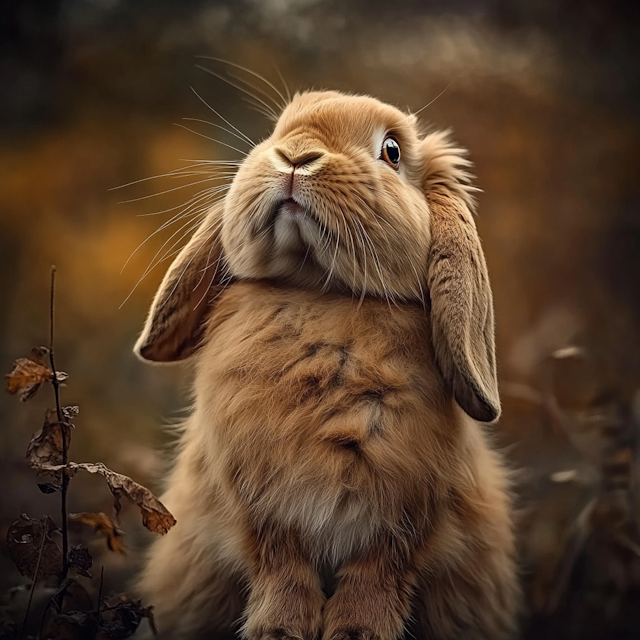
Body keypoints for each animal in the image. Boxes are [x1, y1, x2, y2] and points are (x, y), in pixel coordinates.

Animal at [135, 91, 520, 640]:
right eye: (277, 130)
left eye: (392, 151)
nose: (296, 156)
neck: (320, 292)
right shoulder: (258, 507)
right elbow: (281, 568)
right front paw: (278, 631)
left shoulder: (406, 517)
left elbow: (377, 576)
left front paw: (357, 633)